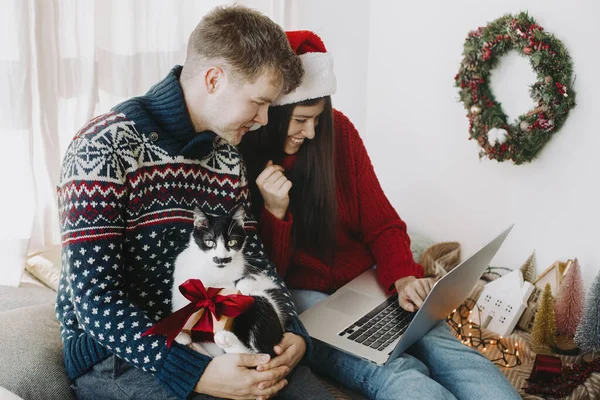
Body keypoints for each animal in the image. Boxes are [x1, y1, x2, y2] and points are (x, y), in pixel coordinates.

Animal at [170, 205, 292, 358]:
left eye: (232, 242)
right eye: (209, 242)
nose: (222, 259)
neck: (214, 272)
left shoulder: (253, 272)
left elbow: (252, 278)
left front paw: (242, 288)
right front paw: (179, 332)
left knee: (261, 353)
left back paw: (226, 339)